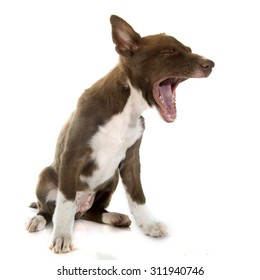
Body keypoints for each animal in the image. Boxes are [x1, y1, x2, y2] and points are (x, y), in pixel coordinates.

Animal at [25, 14, 213, 254]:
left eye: (188, 49)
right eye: (168, 52)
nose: (211, 64)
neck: (128, 108)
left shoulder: (131, 160)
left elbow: (137, 196)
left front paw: (149, 225)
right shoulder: (72, 155)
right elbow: (65, 202)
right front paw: (62, 236)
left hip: (111, 178)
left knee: (93, 212)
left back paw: (114, 217)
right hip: (45, 176)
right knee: (49, 209)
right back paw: (38, 219)